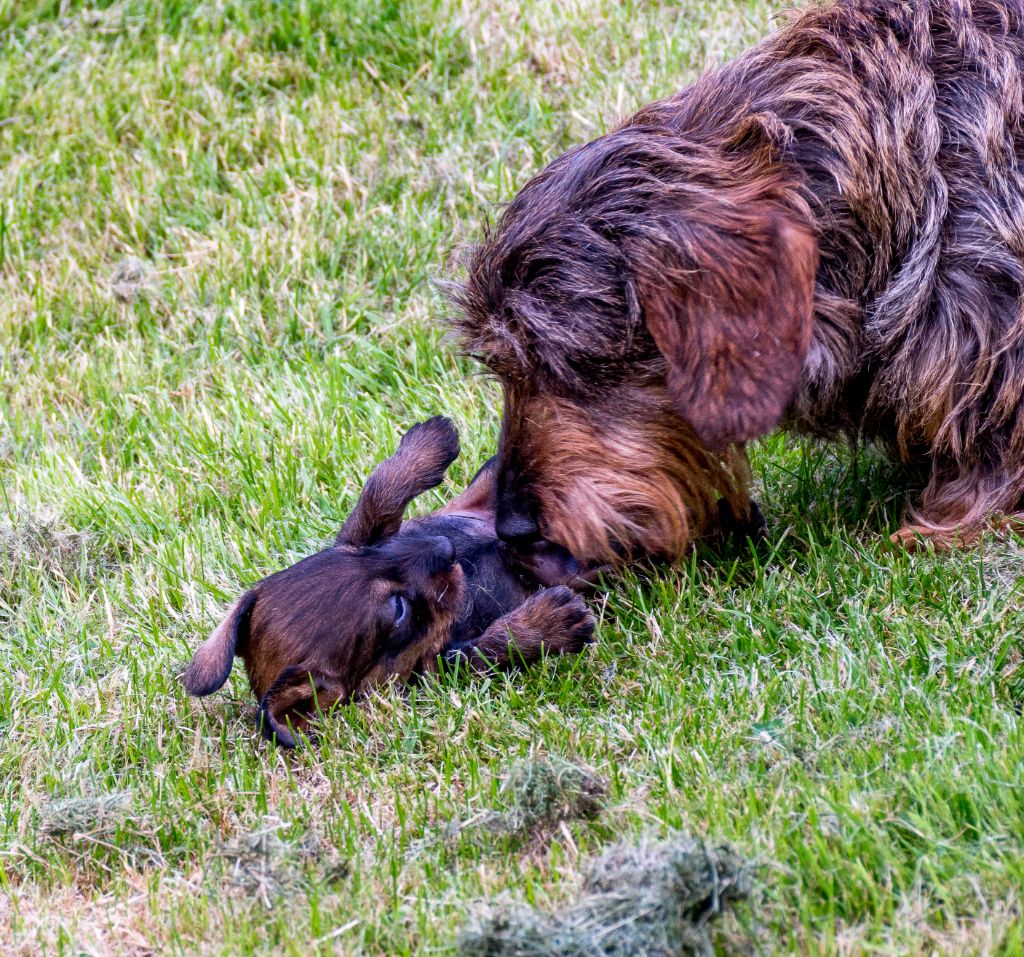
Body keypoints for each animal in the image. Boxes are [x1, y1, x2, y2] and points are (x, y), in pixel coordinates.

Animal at [183, 419, 598, 749]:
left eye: (366, 552)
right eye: (398, 610)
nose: (445, 548)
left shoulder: (361, 531)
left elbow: (378, 492)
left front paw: (428, 442)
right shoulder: (437, 669)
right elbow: (485, 648)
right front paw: (544, 623)